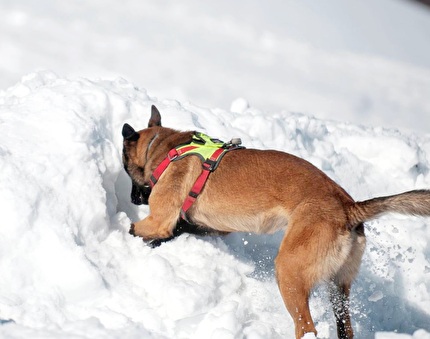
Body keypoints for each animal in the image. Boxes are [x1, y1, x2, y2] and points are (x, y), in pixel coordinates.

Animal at [121, 105, 430, 338]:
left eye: (124, 166)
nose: (135, 200)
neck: (164, 147)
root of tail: (348, 207)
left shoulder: (159, 219)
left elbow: (138, 229)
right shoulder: (215, 228)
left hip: (289, 272)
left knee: (307, 327)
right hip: (339, 289)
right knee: (345, 328)